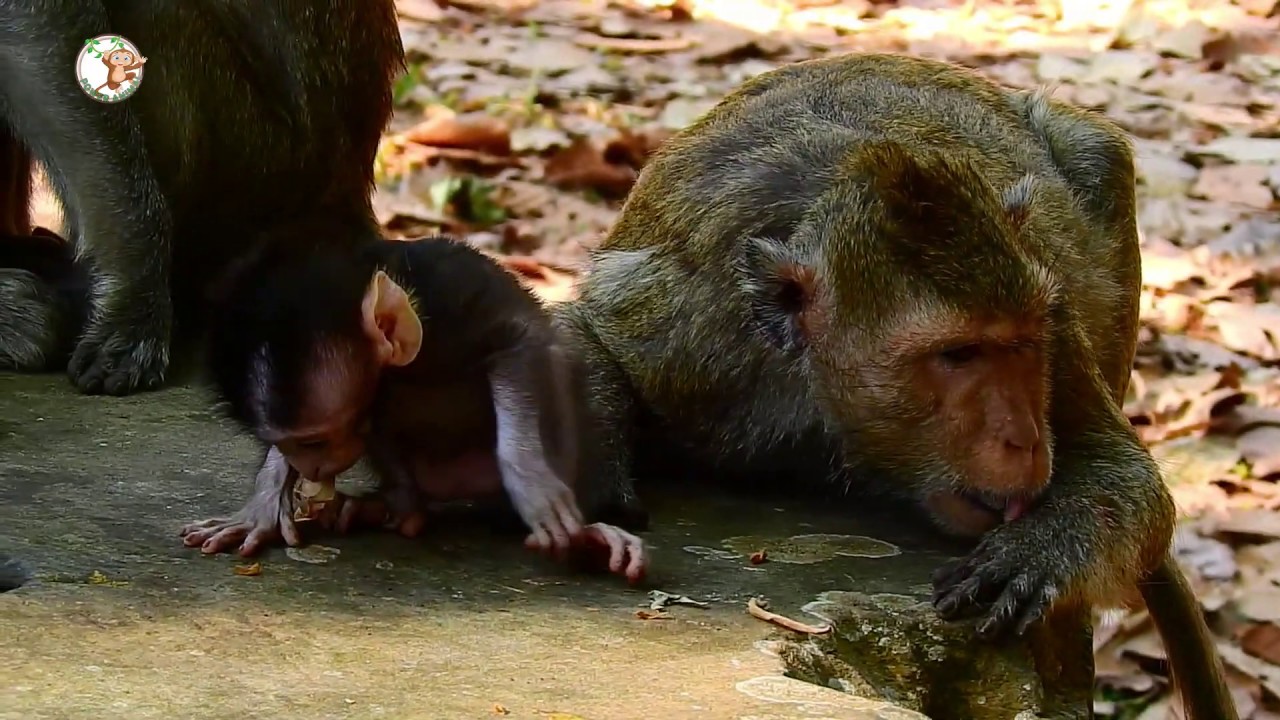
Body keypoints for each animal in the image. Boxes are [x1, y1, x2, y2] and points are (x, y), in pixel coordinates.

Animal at [178, 236, 649, 583]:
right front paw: (262, 504)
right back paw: (396, 507)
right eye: (288, 444)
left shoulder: (451, 305)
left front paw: (534, 488)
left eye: (314, 441)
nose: (308, 469)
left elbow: (519, 344)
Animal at [553, 53, 1236, 718]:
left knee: (1096, 151)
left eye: (1022, 343)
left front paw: (1040, 550)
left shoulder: (1053, 315)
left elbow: (1129, 483)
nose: (1025, 440)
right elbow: (578, 330)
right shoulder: (692, 330)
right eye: (959, 355)